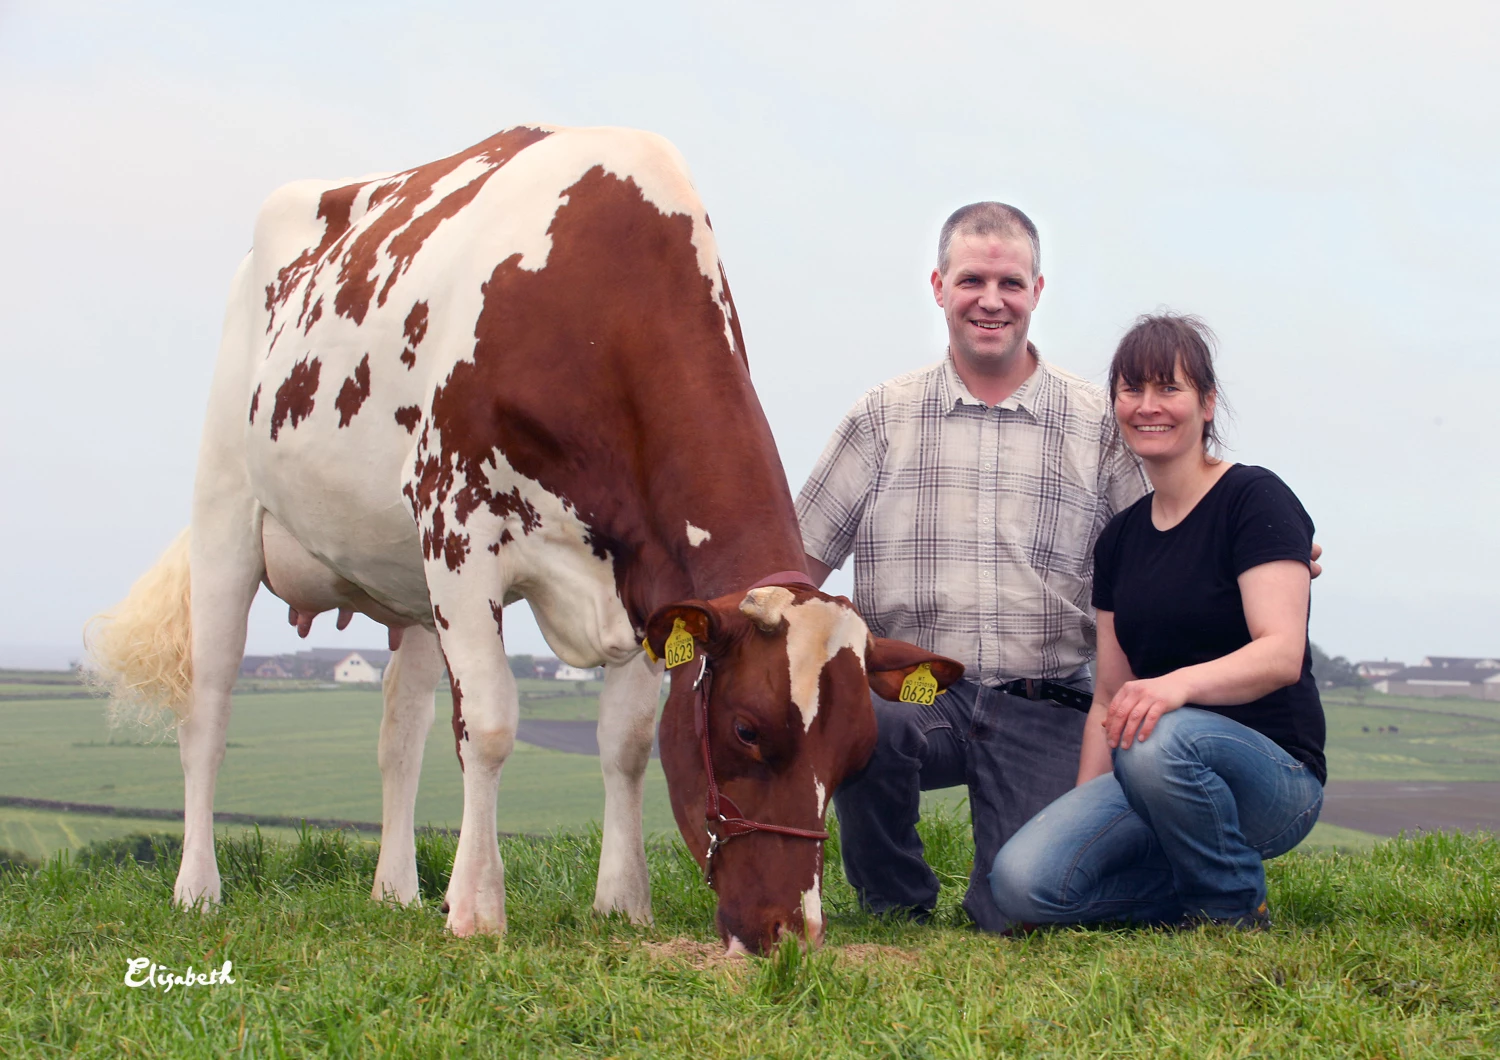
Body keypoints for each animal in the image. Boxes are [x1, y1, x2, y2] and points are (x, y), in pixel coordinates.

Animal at [90, 126, 960, 959]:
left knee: (399, 730)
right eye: (747, 729)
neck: (597, 305)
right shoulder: (459, 528)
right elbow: (492, 724)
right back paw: (198, 888)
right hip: (227, 512)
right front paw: (477, 909)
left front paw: (623, 901)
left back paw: (395, 891)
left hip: (405, 581)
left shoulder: (644, 576)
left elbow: (625, 742)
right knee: (207, 710)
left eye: (857, 754)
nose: (792, 936)